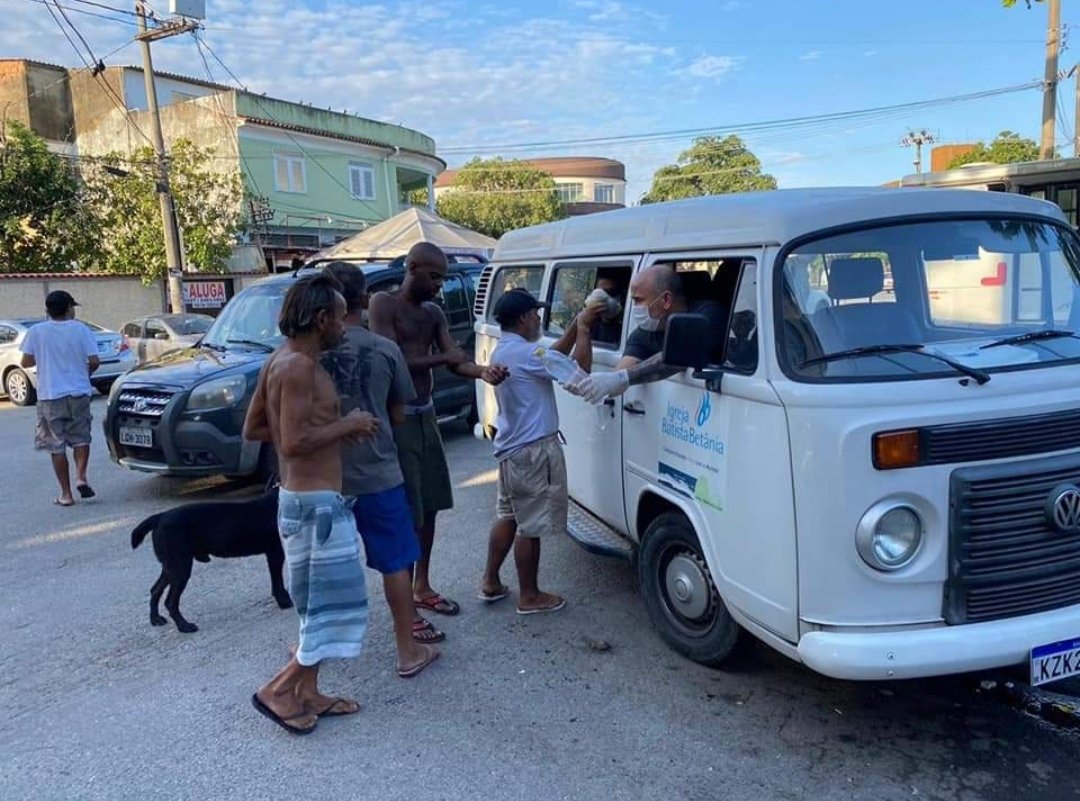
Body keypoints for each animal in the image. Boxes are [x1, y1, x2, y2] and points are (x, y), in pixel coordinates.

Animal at [129, 485, 291, 634]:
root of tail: (160, 517)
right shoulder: (275, 553)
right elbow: (277, 582)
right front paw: (284, 601)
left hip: (171, 567)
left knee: (155, 590)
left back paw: (155, 619)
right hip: (181, 568)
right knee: (170, 601)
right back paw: (184, 626)